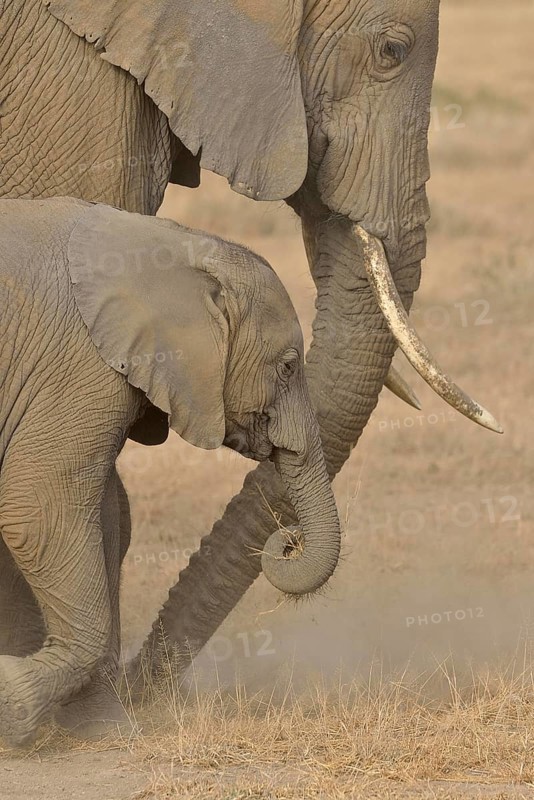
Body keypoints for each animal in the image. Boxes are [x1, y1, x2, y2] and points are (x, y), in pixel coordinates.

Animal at [0, 196, 341, 745]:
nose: (289, 541)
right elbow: (37, 509)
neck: (179, 247)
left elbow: (104, 516)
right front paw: (13, 706)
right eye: (288, 366)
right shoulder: (79, 364)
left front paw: (100, 727)